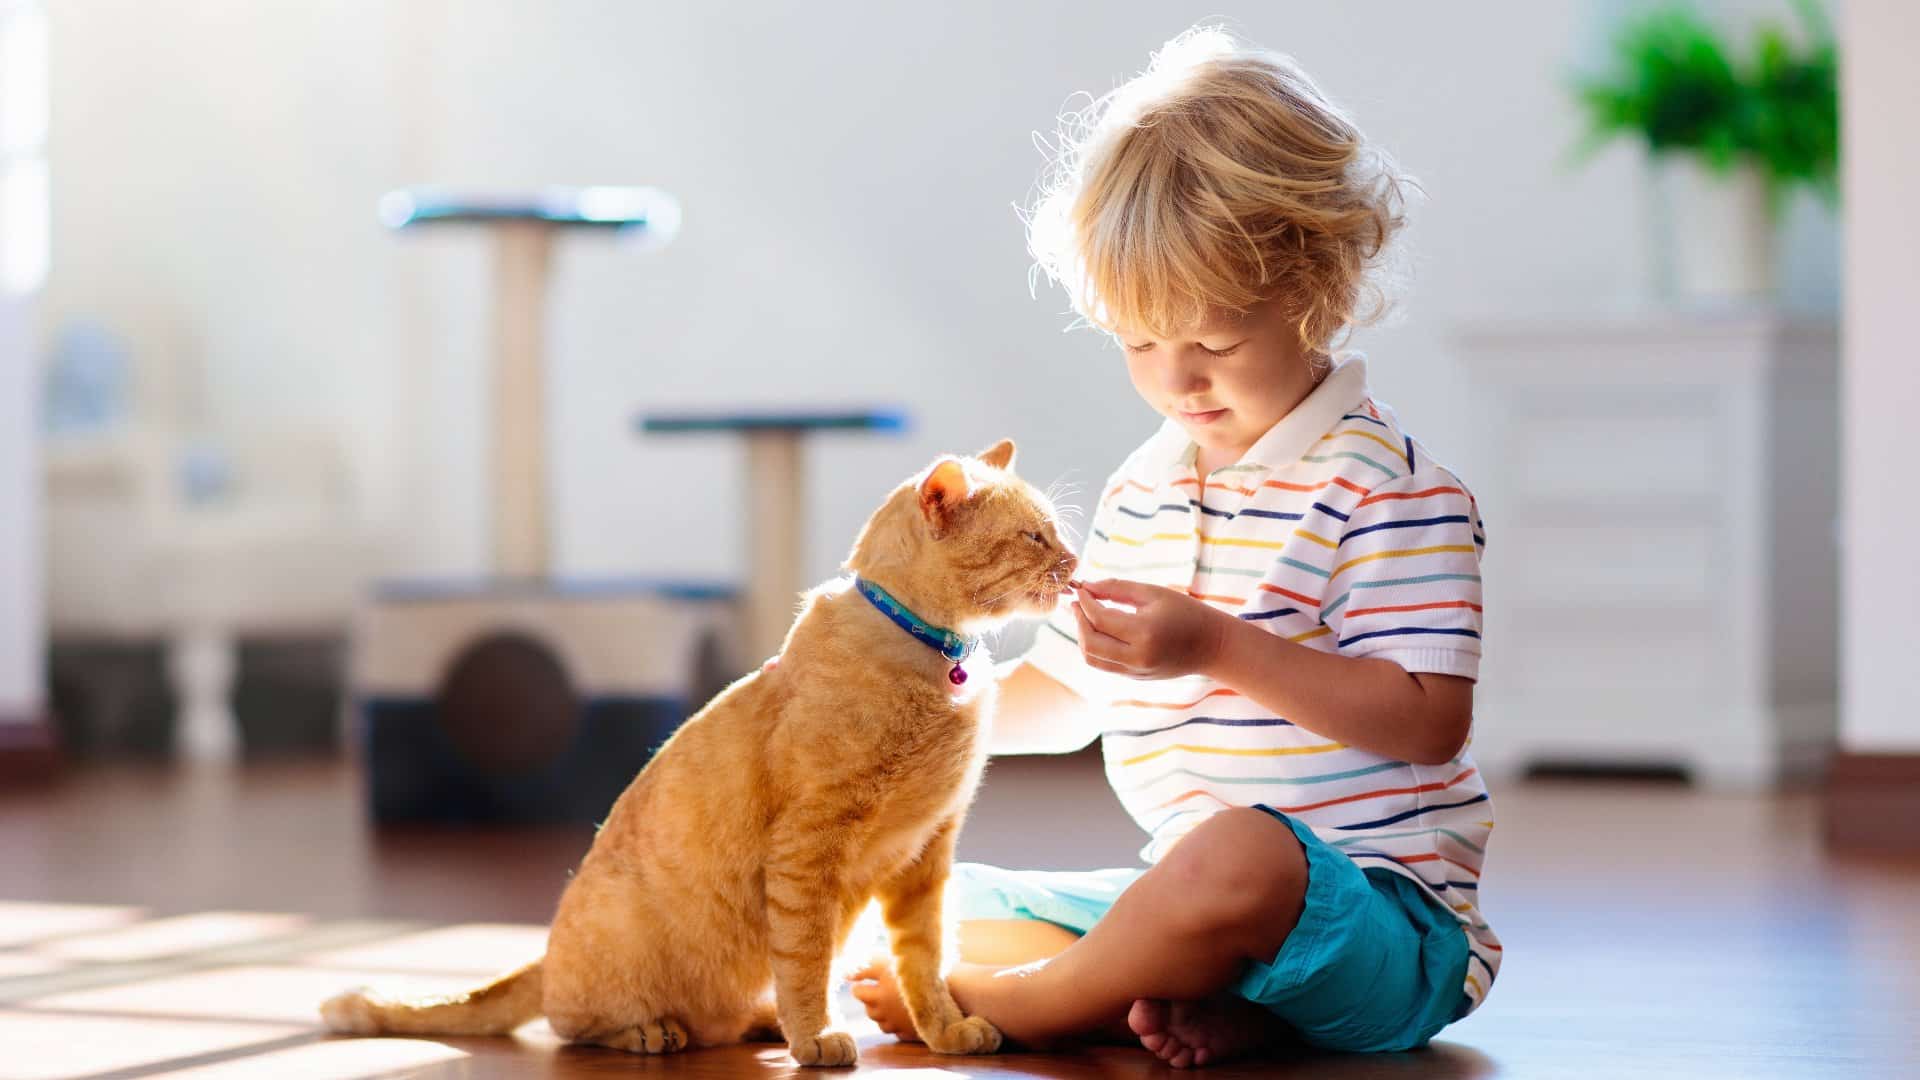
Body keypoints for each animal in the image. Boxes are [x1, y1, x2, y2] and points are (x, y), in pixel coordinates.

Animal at [328, 434, 1082, 1060]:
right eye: (1033, 536)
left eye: (1053, 534)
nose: (1075, 564)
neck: (936, 661)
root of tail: (543, 954)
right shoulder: (810, 852)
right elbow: (806, 960)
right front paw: (818, 1038)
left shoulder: (927, 855)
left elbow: (925, 962)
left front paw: (945, 1031)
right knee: (574, 1025)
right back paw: (654, 1031)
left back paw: (762, 1023)